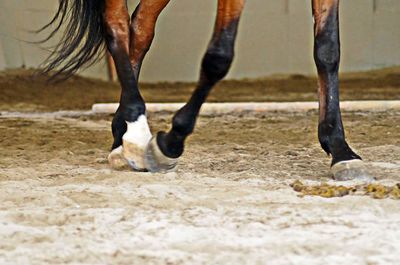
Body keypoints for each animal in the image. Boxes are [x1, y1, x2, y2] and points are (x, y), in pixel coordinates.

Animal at [39, 0, 372, 179]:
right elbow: (219, 56)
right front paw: (170, 142)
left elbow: (327, 49)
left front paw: (339, 148)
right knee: (117, 24)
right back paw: (136, 131)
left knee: (141, 27)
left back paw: (123, 136)